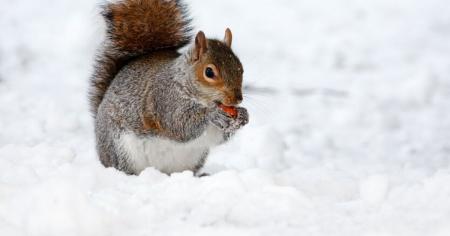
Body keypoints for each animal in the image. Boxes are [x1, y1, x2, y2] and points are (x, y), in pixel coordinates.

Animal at [88, 0, 250, 175]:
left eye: (241, 68)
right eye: (209, 72)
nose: (237, 99)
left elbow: (217, 137)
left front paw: (243, 115)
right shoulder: (164, 99)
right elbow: (179, 124)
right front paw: (213, 114)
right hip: (121, 150)